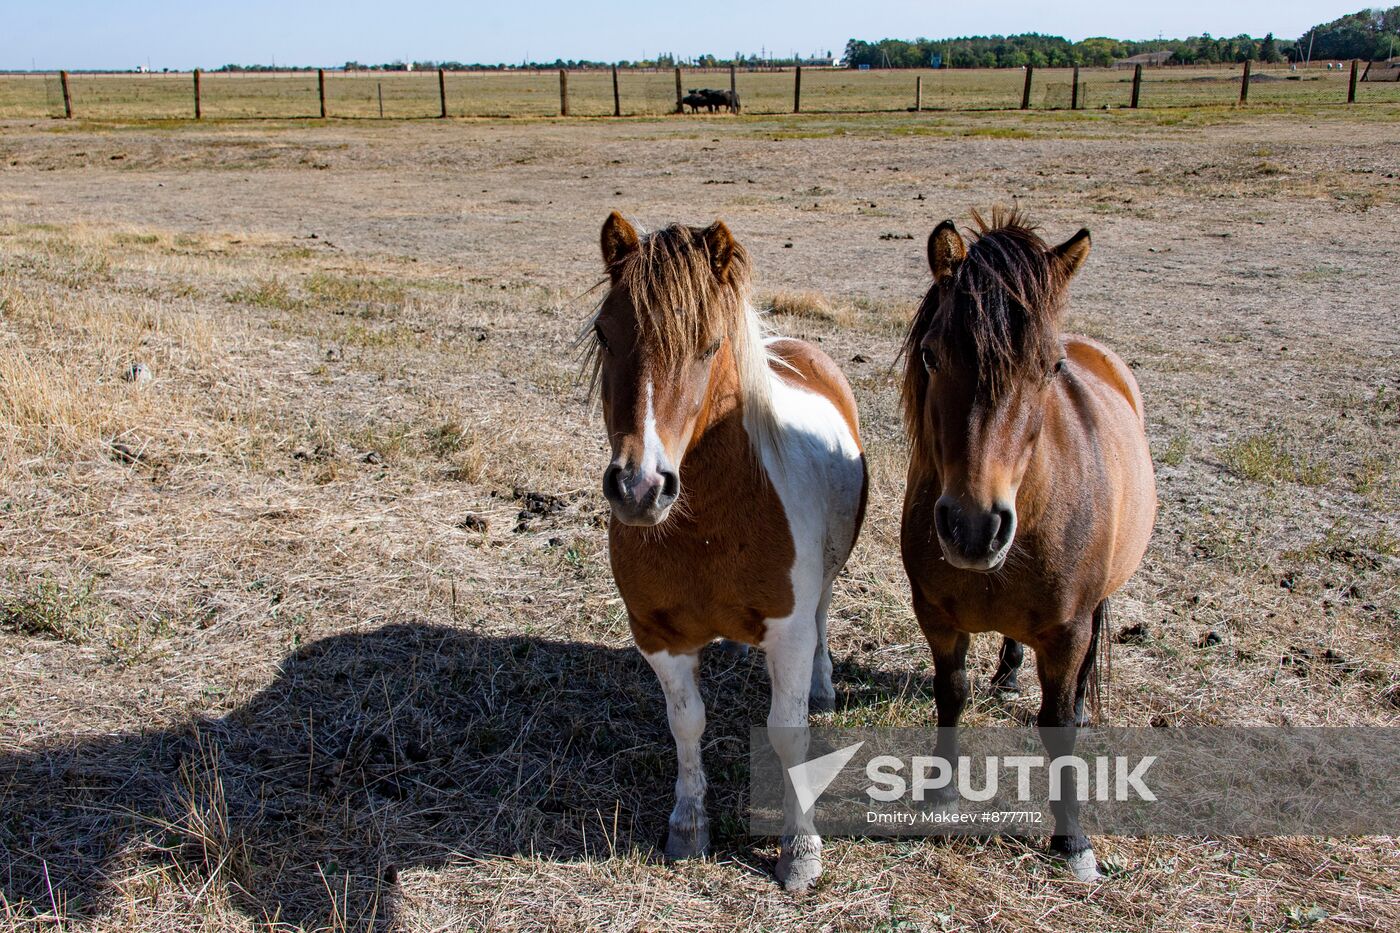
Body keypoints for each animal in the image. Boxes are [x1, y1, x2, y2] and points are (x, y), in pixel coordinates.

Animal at [582, 208, 862, 885]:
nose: (639, 487)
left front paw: (799, 851)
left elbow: (788, 734)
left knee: (824, 616)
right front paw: (688, 826)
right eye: (605, 333)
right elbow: (687, 724)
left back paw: (824, 687)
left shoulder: (789, 631)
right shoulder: (658, 635)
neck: (706, 526)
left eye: (709, 345)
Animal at [901, 208, 1153, 879]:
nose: (973, 527)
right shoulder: (937, 619)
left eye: (1049, 368)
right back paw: (1010, 671)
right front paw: (940, 793)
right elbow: (951, 696)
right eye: (932, 355)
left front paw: (1072, 842)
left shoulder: (1066, 632)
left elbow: (1057, 725)